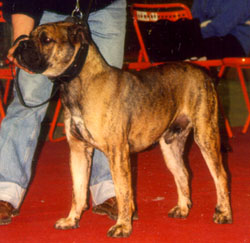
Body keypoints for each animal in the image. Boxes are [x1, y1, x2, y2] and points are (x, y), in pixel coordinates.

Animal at [14, 20, 232, 237]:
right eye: (30, 35)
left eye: (46, 39)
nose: (21, 44)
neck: (80, 83)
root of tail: (204, 73)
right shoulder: (78, 151)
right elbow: (78, 190)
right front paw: (72, 219)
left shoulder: (118, 152)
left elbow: (122, 191)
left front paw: (123, 226)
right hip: (170, 146)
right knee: (183, 174)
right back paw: (183, 209)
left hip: (206, 136)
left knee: (221, 175)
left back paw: (224, 213)